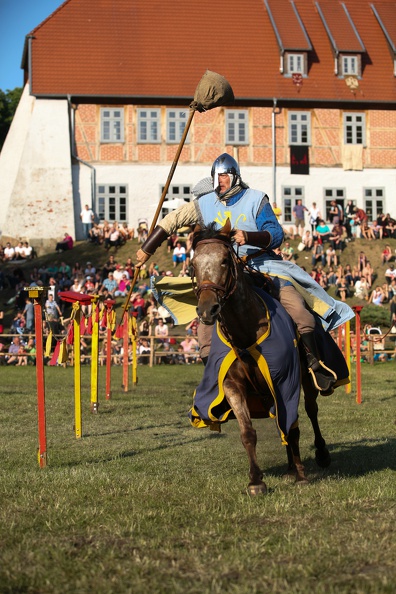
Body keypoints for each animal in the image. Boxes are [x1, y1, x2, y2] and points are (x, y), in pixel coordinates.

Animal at [191, 220, 332, 492]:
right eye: (193, 263)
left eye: (225, 260)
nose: (207, 309)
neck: (245, 332)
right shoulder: (232, 385)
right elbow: (248, 432)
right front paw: (256, 481)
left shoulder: (286, 378)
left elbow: (293, 427)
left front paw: (301, 475)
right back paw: (289, 467)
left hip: (307, 380)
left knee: (311, 411)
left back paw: (318, 455)